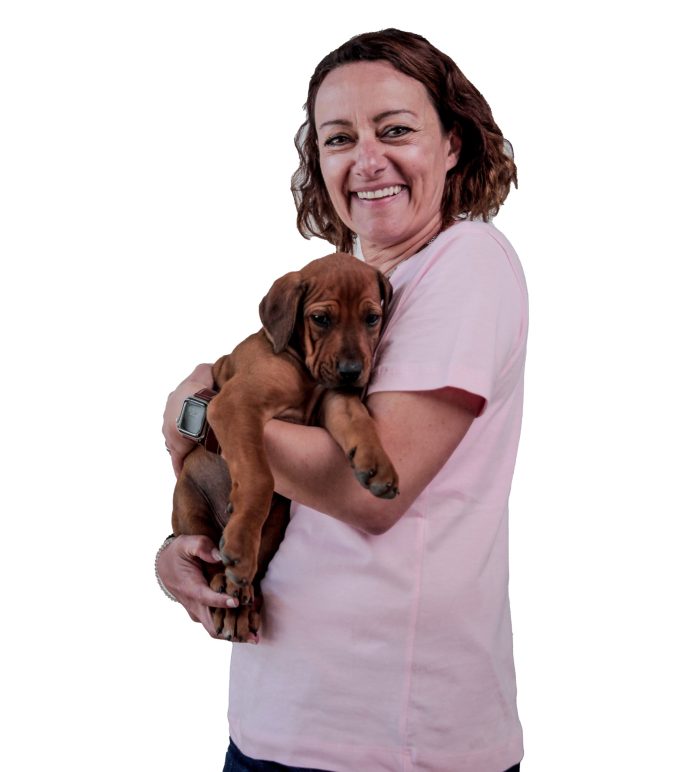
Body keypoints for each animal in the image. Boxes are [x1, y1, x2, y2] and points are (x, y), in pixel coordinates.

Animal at [171, 253, 399, 641]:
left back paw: (243, 602)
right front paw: (240, 543)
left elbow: (358, 417)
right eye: (321, 319)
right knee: (208, 561)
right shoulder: (237, 404)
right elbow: (259, 477)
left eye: (372, 318)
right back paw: (227, 581)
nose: (352, 371)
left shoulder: (333, 397)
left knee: (258, 568)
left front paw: (377, 464)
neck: (303, 369)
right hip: (190, 507)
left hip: (278, 521)